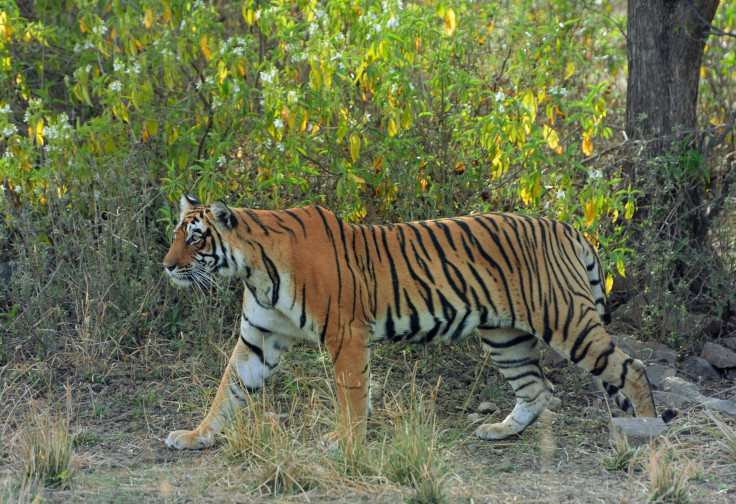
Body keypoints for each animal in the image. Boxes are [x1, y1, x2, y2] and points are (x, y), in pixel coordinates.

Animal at [165, 196, 660, 448]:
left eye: (196, 238)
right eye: (176, 234)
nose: (167, 266)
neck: (254, 268)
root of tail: (567, 228)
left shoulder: (346, 335)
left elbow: (351, 395)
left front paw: (346, 442)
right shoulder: (259, 337)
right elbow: (228, 389)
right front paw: (196, 436)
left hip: (567, 321)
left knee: (632, 369)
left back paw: (649, 435)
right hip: (505, 335)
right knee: (537, 388)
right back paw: (500, 430)